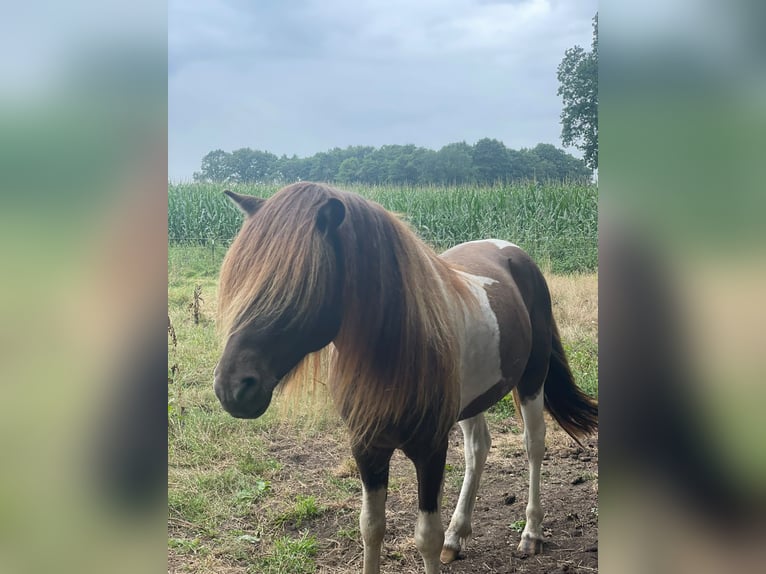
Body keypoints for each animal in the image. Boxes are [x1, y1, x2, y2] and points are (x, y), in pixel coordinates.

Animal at [213, 182, 598, 574]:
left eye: (302, 283)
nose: (232, 387)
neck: (392, 357)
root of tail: (515, 254)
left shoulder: (430, 449)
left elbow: (426, 535)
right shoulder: (366, 447)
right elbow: (371, 527)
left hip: (532, 380)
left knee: (534, 443)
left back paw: (531, 534)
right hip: (473, 400)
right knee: (478, 448)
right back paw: (457, 536)